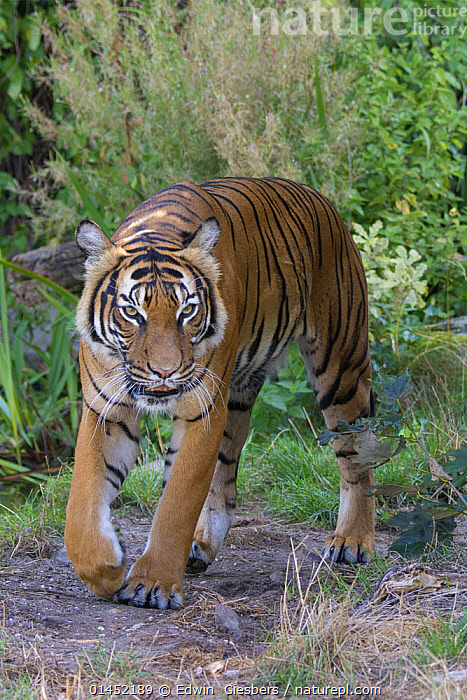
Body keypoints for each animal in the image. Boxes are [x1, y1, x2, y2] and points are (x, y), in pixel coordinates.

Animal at [64, 178, 374, 608]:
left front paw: (152, 584)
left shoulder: (202, 409)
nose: (165, 371)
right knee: (225, 471)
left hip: (339, 368)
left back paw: (352, 541)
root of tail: (323, 202)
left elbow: (178, 500)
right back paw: (202, 545)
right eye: (132, 313)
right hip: (239, 394)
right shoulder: (106, 409)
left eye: (187, 311)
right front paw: (106, 570)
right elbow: (83, 500)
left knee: (356, 458)